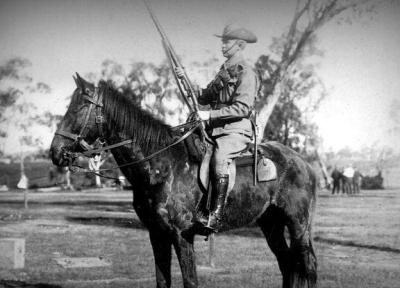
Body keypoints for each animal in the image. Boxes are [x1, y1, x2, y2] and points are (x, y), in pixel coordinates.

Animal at [50, 75, 318, 288]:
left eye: (79, 107)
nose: (55, 152)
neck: (161, 165)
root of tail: (304, 164)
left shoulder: (182, 235)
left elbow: (190, 281)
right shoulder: (157, 234)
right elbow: (162, 280)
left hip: (298, 226)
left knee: (308, 266)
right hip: (271, 224)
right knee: (287, 264)